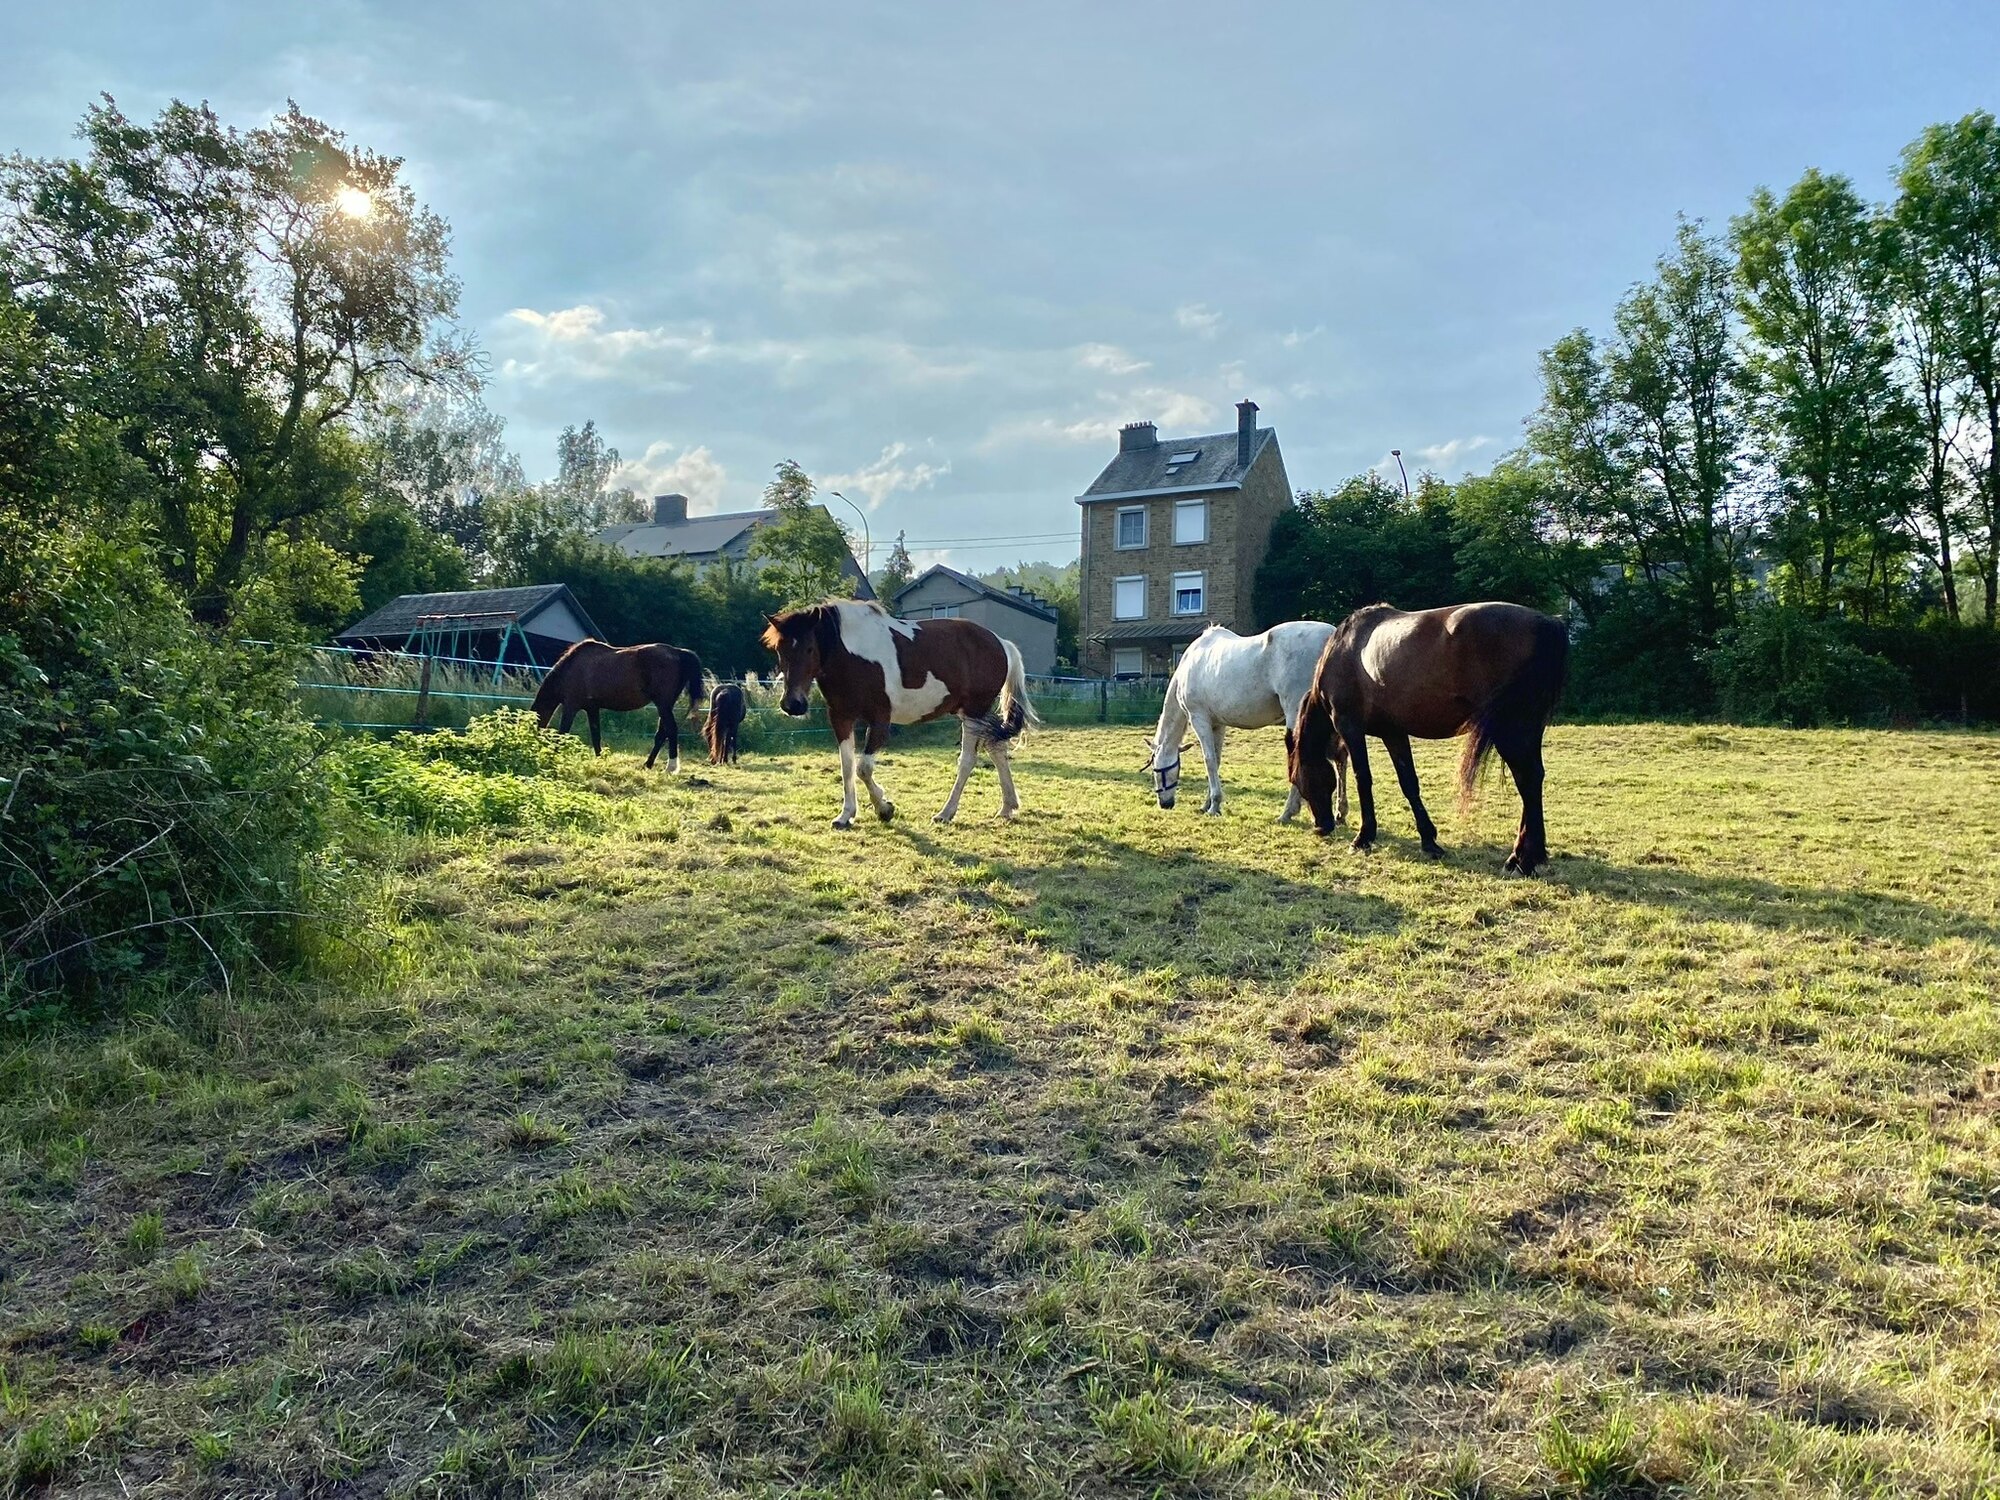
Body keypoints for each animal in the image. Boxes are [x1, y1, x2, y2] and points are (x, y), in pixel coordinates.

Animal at [531, 639, 704, 771]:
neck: (570, 669)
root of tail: (677, 652)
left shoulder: (570, 706)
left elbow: (562, 733)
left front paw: (553, 757)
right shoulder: (592, 709)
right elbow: (596, 736)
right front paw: (600, 760)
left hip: (663, 704)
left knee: (671, 730)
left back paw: (671, 768)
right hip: (665, 706)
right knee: (662, 733)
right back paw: (647, 764)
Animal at [761, 600, 1038, 828]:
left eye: (809, 648)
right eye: (779, 650)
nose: (792, 704)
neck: (852, 655)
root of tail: (1001, 643)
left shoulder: (880, 722)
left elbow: (863, 768)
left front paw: (884, 808)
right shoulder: (841, 719)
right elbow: (847, 766)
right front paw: (846, 814)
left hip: (974, 712)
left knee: (968, 760)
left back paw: (946, 813)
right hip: (974, 714)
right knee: (997, 749)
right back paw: (1007, 807)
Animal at [1145, 621, 1346, 824]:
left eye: (1156, 769)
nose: (1165, 804)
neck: (1189, 664)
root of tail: (1332, 636)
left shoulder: (1199, 719)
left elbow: (1209, 760)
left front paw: (1214, 806)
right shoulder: (1217, 724)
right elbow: (1216, 760)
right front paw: (1207, 803)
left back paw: (1287, 813)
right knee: (1340, 758)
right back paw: (1339, 813)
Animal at [1289, 602, 1568, 874]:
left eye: (1298, 780)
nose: (1321, 826)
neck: (1345, 649)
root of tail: (1547, 623)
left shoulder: (1350, 727)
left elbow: (1363, 779)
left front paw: (1363, 837)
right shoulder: (1393, 732)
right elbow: (1409, 783)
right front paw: (1429, 840)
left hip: (1510, 731)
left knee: (1527, 780)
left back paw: (1523, 860)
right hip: (1528, 731)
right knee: (1533, 779)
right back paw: (1527, 856)